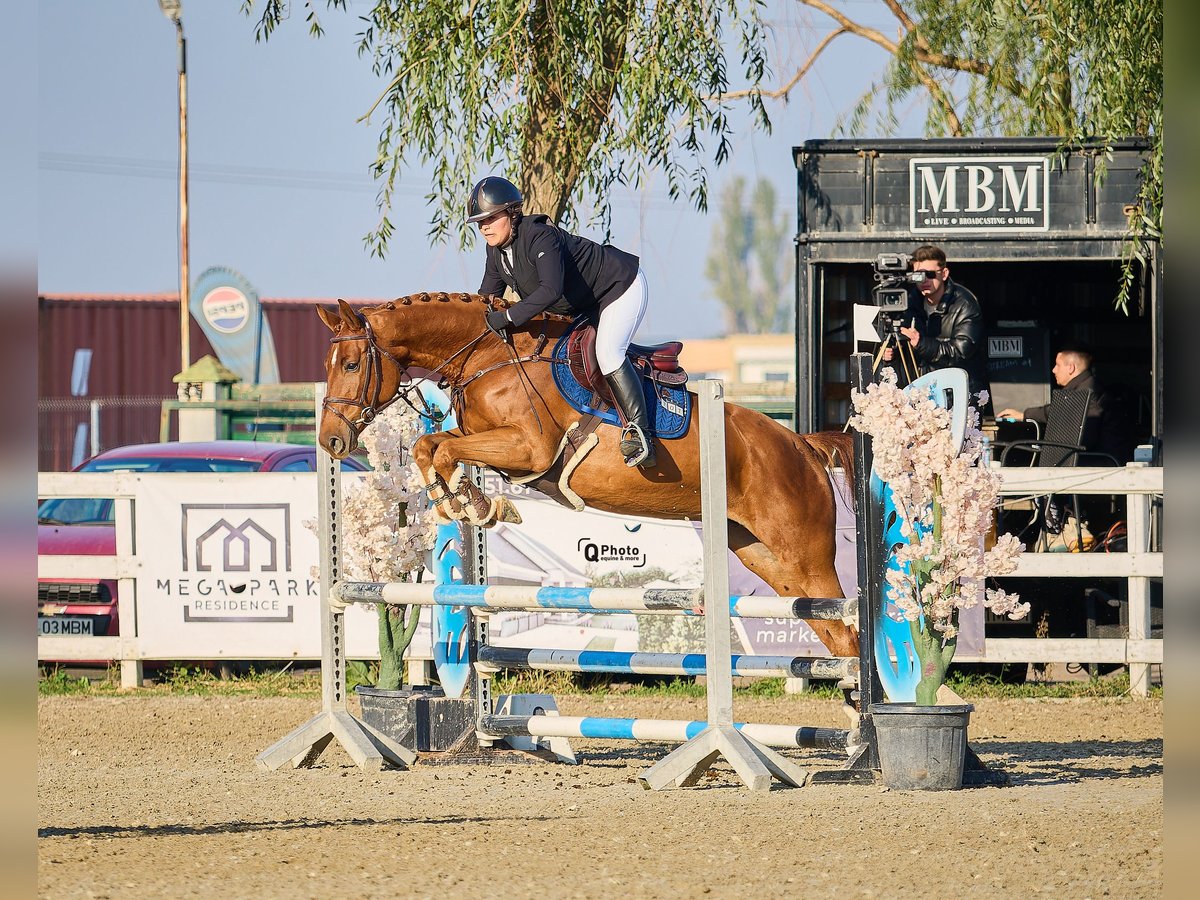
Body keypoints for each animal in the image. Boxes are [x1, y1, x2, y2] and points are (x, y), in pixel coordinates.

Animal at [314, 297, 859, 662]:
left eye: (352, 363)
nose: (331, 442)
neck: (489, 356)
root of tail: (802, 446)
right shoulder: (490, 442)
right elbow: (431, 446)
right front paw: (469, 502)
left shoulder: (528, 448)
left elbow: (442, 447)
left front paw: (471, 504)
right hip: (765, 556)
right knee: (834, 633)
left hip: (805, 556)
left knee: (848, 626)